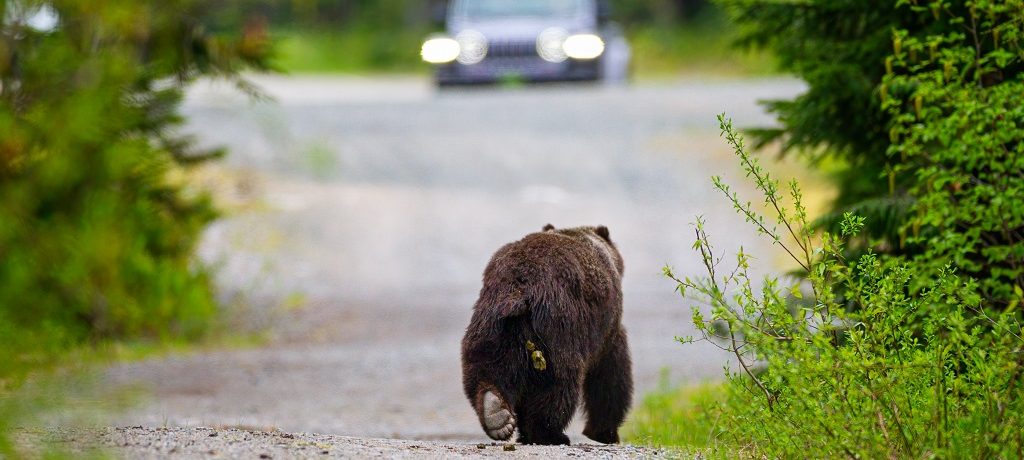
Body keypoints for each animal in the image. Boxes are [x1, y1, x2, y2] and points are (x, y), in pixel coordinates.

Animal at [458, 223, 630, 444]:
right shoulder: (605, 326)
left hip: (492, 327)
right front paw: (604, 432)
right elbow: (610, 373)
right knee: (558, 384)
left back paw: (495, 412)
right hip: (557, 327)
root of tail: (519, 288)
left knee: (485, 367)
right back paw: (550, 434)